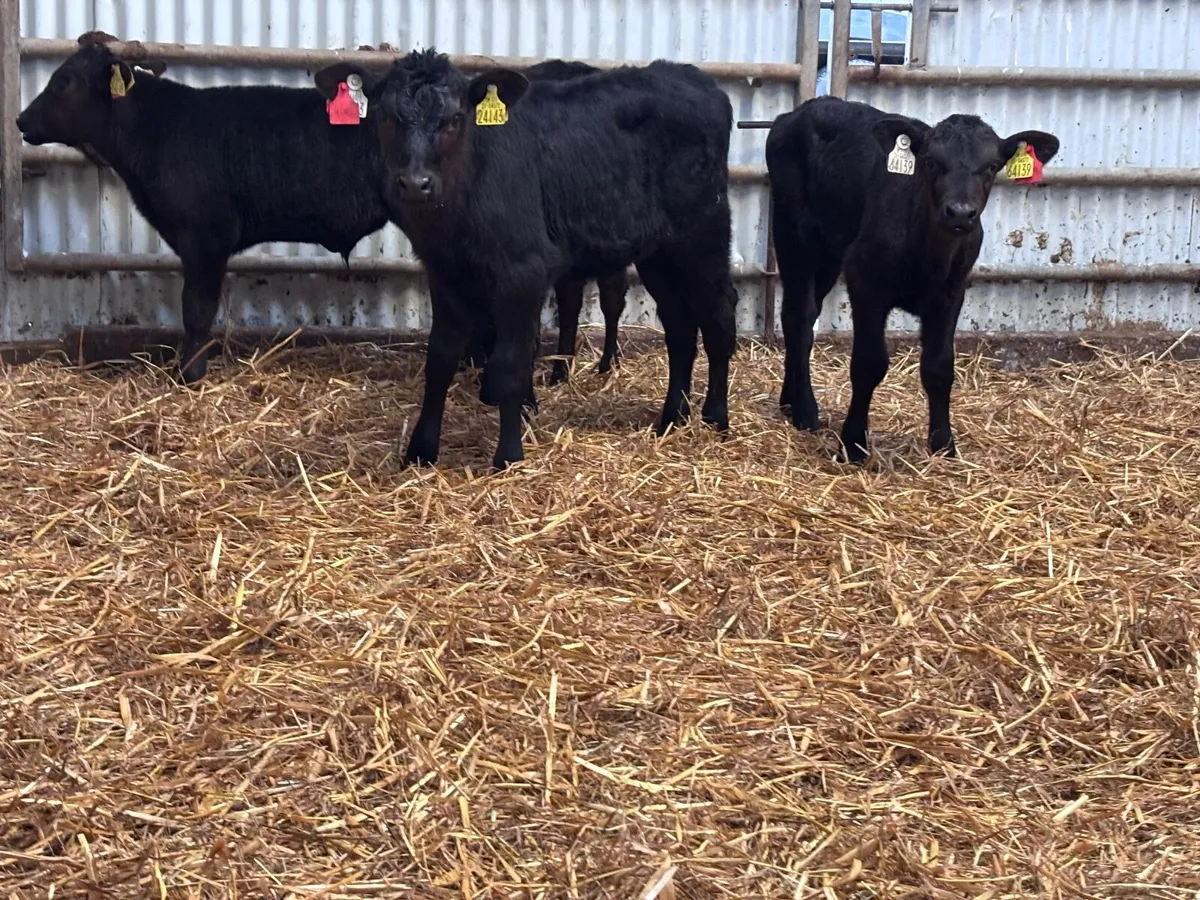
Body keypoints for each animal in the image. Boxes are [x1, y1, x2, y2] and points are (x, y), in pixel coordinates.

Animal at [15, 31, 392, 385]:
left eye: (65, 81)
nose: (21, 120)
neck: (156, 131)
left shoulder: (207, 236)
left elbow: (197, 307)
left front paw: (189, 372)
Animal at [314, 49, 738, 471]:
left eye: (455, 119)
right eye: (386, 117)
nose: (416, 184)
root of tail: (693, 78)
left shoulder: (523, 272)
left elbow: (511, 365)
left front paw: (508, 455)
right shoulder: (446, 273)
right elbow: (440, 359)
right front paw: (420, 450)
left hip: (704, 233)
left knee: (719, 313)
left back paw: (715, 417)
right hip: (659, 252)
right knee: (680, 328)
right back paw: (672, 418)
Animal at [766, 96, 1059, 463]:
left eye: (992, 166)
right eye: (931, 162)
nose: (960, 212)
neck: (928, 258)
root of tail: (801, 109)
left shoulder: (952, 294)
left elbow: (939, 366)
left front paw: (944, 444)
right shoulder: (865, 282)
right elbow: (869, 362)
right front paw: (853, 443)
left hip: (830, 253)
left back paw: (790, 401)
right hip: (794, 235)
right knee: (800, 317)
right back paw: (805, 409)